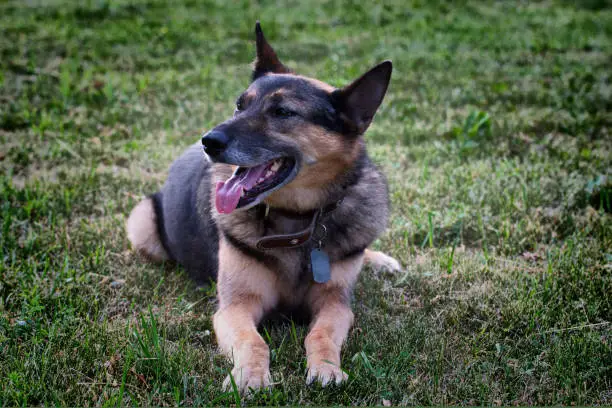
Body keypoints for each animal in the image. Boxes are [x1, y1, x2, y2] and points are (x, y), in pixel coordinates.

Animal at [126, 21, 400, 392]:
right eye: (239, 105)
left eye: (283, 113)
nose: (208, 141)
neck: (296, 221)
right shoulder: (234, 308)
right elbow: (253, 341)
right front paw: (250, 375)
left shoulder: (336, 304)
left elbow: (321, 334)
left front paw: (327, 368)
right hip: (142, 225)